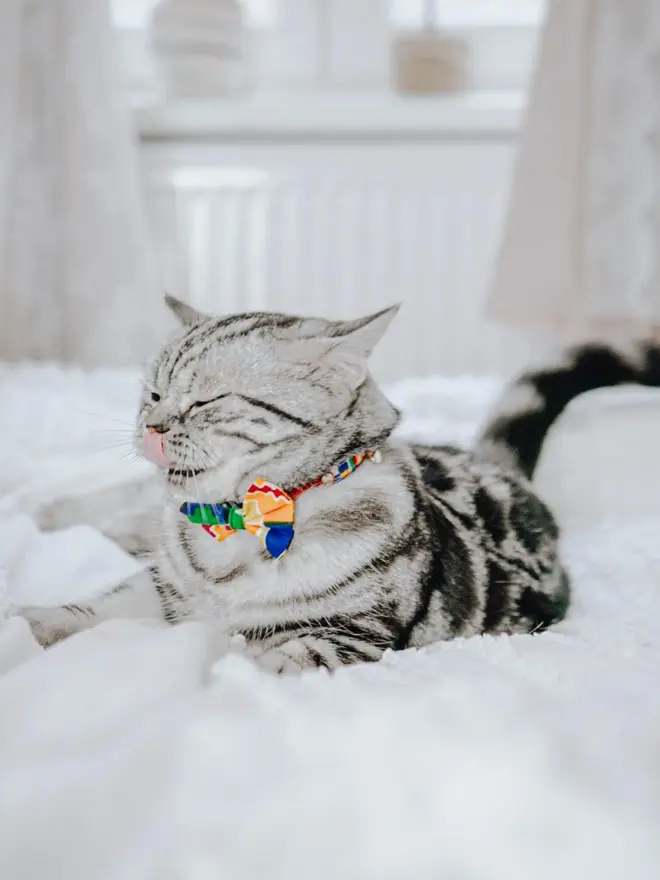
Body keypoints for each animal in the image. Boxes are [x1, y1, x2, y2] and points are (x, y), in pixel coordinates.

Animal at [23, 298, 660, 672]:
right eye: (152, 394)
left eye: (206, 400)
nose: (150, 426)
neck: (232, 527)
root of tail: (500, 468)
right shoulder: (159, 586)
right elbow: (92, 607)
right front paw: (30, 621)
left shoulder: (342, 635)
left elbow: (257, 662)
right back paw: (43, 509)